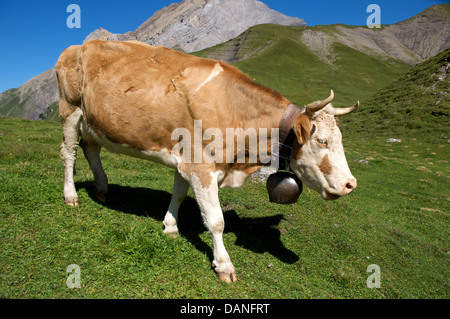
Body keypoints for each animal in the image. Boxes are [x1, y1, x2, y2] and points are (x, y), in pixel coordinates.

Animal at [56, 39, 358, 282]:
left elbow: (178, 194)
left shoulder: (186, 158)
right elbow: (216, 220)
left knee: (91, 149)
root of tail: (78, 46)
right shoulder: (202, 166)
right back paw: (71, 195)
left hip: (93, 121)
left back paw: (102, 188)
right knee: (69, 152)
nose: (350, 184)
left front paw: (170, 227)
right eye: (322, 141)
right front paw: (224, 266)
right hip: (70, 109)